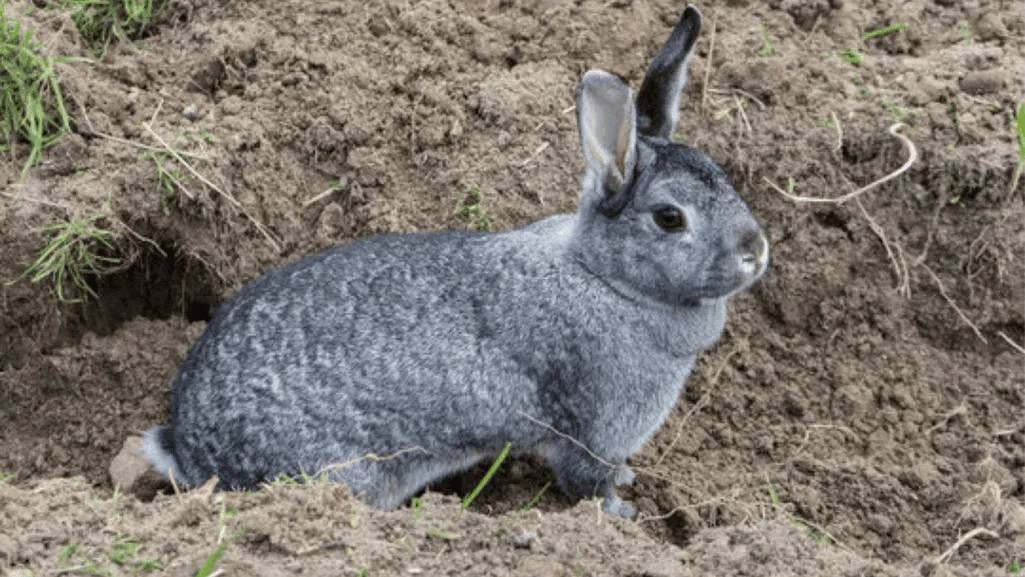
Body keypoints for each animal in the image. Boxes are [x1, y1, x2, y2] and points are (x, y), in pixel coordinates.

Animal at [142, 3, 769, 519]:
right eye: (670, 218)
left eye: (723, 176)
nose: (755, 252)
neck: (605, 276)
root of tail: (189, 449)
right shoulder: (590, 429)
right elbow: (586, 481)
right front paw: (621, 512)